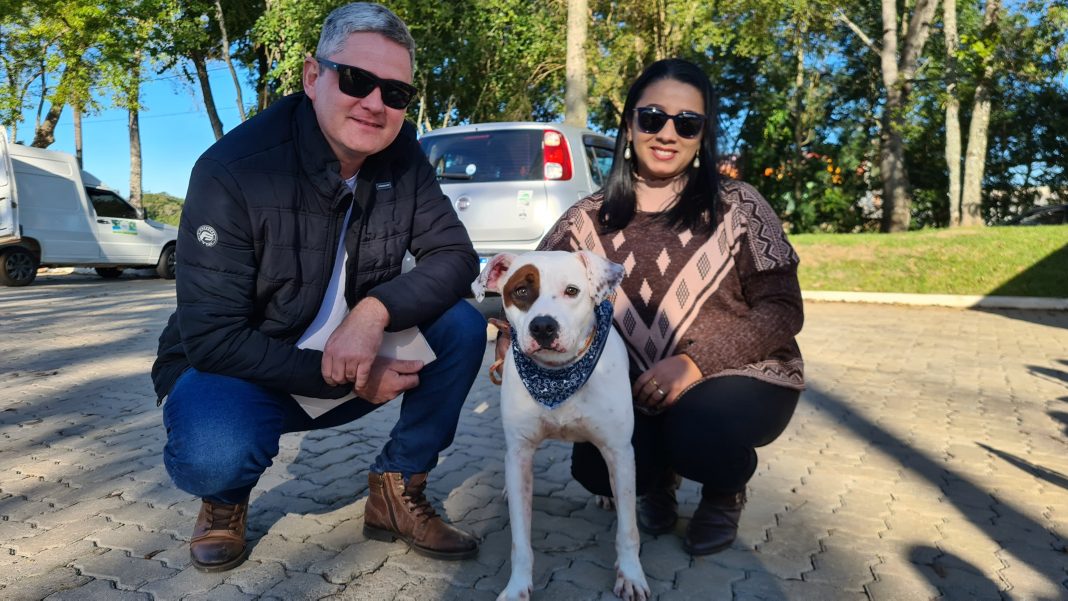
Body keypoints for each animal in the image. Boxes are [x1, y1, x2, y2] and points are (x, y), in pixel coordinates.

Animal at [473, 250, 650, 601]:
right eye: (521, 291)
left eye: (572, 291)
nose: (543, 326)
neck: (558, 377)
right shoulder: (521, 452)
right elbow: (520, 539)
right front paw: (517, 586)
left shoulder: (620, 451)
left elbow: (628, 529)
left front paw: (631, 576)